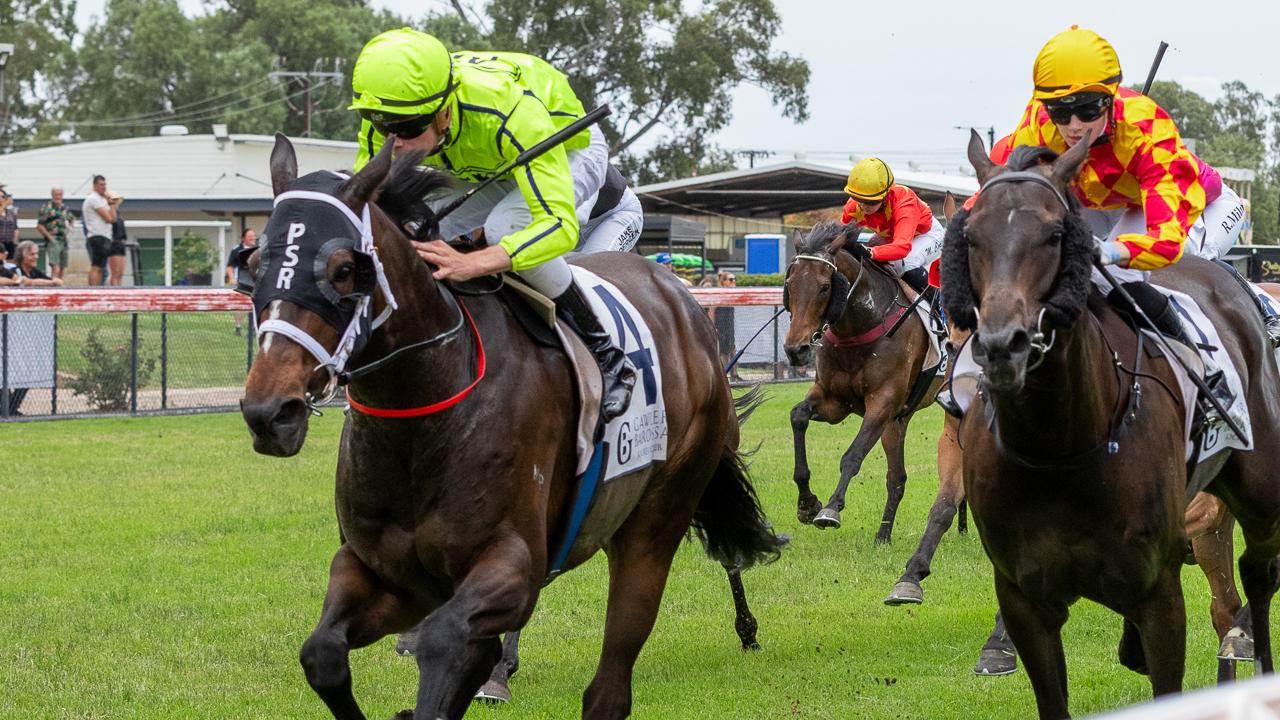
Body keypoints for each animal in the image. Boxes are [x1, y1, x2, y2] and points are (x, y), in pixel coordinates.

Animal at [235, 135, 783, 717]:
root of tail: (684, 301)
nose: (270, 412)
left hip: (655, 521)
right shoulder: (388, 574)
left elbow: (446, 640)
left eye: (343, 268)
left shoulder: (512, 562)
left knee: (611, 684)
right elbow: (323, 654)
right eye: (255, 261)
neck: (423, 409)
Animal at [773, 221, 947, 540]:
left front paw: (830, 509)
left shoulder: (882, 404)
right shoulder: (835, 400)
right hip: (897, 422)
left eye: (825, 287)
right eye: (789, 284)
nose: (795, 349)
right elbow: (798, 416)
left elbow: (852, 456)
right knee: (897, 478)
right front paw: (807, 503)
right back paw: (883, 537)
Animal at [942, 130, 1280, 717]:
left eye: (1055, 235)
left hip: (1261, 492)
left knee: (1259, 576)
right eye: (971, 236)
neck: (1059, 446)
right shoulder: (1024, 599)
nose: (1002, 345)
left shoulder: (1160, 595)